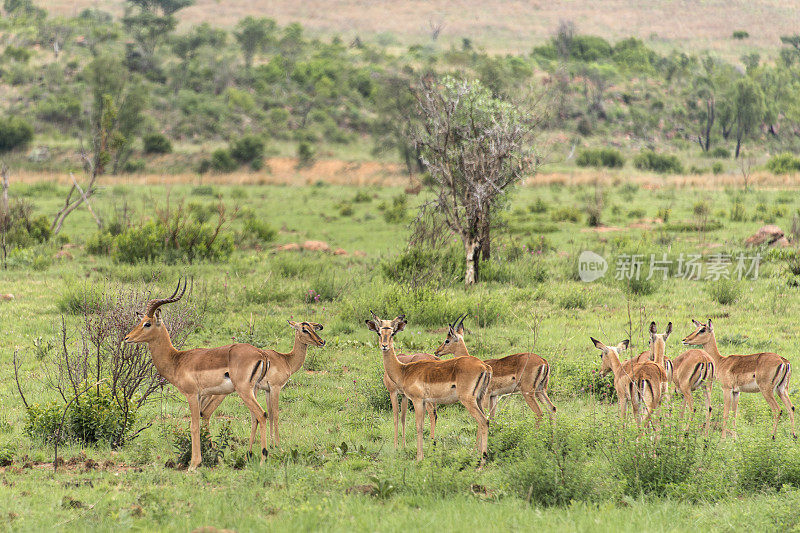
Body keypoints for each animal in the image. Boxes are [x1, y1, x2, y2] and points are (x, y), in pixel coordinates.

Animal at [123, 278, 270, 470]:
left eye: (147, 323)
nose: (127, 338)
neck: (177, 359)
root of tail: (261, 354)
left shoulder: (192, 394)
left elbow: (194, 426)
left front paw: (194, 464)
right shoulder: (201, 396)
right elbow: (201, 422)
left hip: (244, 390)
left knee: (262, 415)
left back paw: (263, 459)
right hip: (253, 390)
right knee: (257, 417)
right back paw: (251, 456)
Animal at [202, 320, 326, 448]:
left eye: (313, 329)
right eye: (304, 329)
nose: (322, 342)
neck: (286, 360)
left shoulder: (267, 390)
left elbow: (269, 413)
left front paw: (271, 444)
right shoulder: (275, 388)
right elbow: (275, 414)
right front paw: (278, 445)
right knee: (206, 413)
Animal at [366, 314, 490, 464]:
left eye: (392, 333)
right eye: (379, 333)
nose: (384, 346)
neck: (404, 370)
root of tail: (484, 366)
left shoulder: (416, 400)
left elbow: (418, 426)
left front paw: (419, 458)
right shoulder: (422, 401)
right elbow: (419, 423)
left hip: (468, 400)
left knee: (483, 421)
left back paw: (482, 460)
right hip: (479, 399)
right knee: (485, 420)